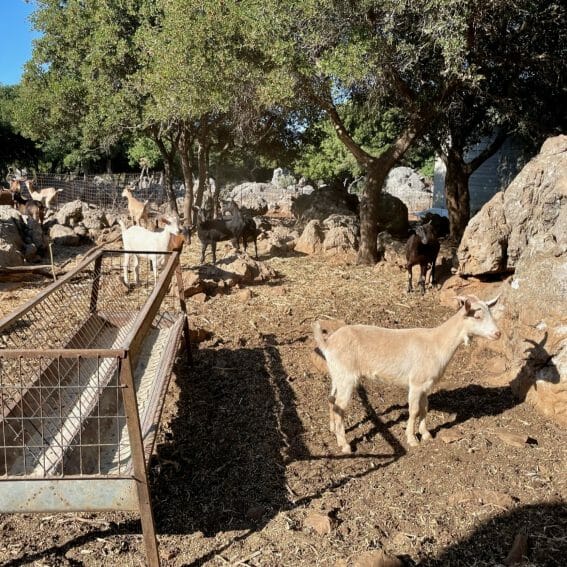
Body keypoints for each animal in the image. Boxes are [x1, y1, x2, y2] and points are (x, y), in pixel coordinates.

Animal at [316, 296, 502, 454]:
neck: (437, 343)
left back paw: (333, 430)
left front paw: (426, 434)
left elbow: (425, 407)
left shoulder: (426, 384)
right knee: (339, 406)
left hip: (337, 374)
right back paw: (344, 444)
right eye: (477, 316)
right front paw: (412, 439)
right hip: (347, 376)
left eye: (490, 313)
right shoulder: (416, 382)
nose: (498, 333)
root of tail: (328, 343)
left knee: (331, 399)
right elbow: (413, 410)